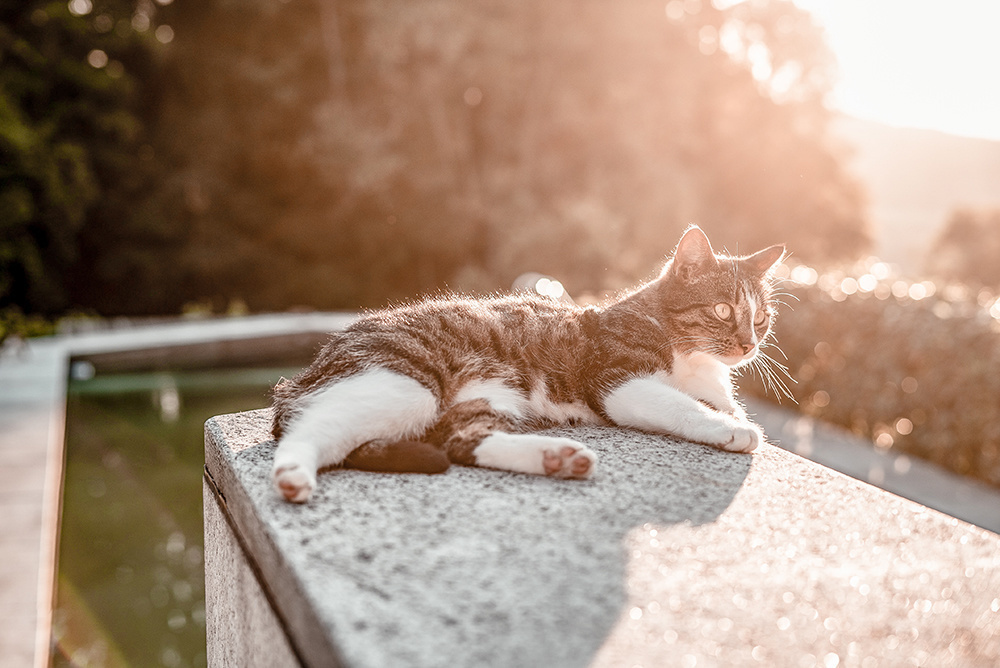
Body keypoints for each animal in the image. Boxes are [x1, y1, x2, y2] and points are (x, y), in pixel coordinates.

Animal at [270, 224, 784, 500]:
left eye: (761, 317)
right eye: (723, 310)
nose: (748, 344)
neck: (693, 357)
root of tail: (300, 377)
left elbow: (715, 402)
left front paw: (730, 415)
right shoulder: (617, 379)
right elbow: (682, 406)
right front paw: (730, 428)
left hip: (486, 398)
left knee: (463, 442)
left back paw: (556, 459)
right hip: (404, 383)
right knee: (314, 429)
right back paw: (293, 474)